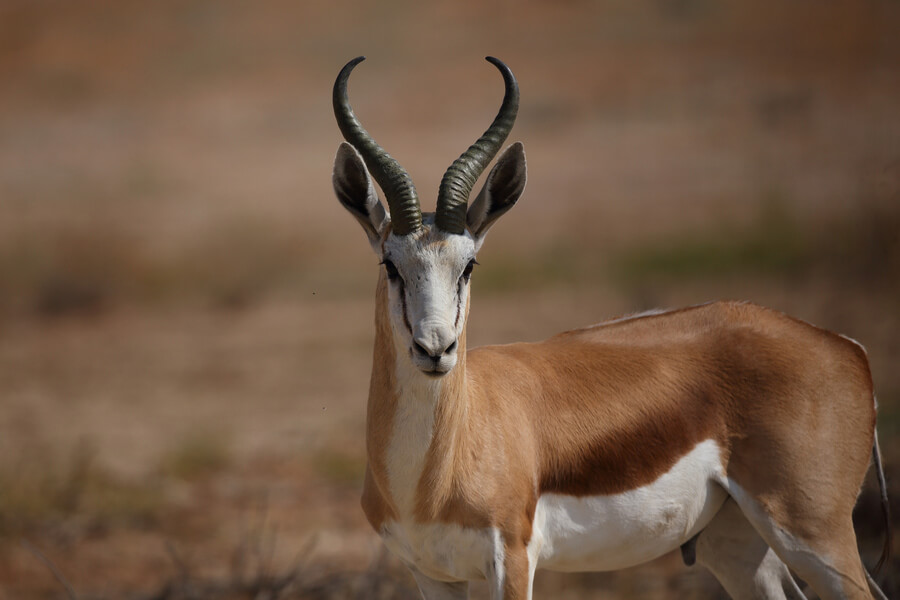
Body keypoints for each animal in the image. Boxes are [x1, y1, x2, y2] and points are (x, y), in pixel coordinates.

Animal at [330, 56, 892, 600]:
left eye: (468, 265)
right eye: (390, 265)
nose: (435, 348)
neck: (433, 475)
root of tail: (846, 346)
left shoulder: (512, 560)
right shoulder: (432, 575)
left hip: (814, 534)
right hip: (736, 547)